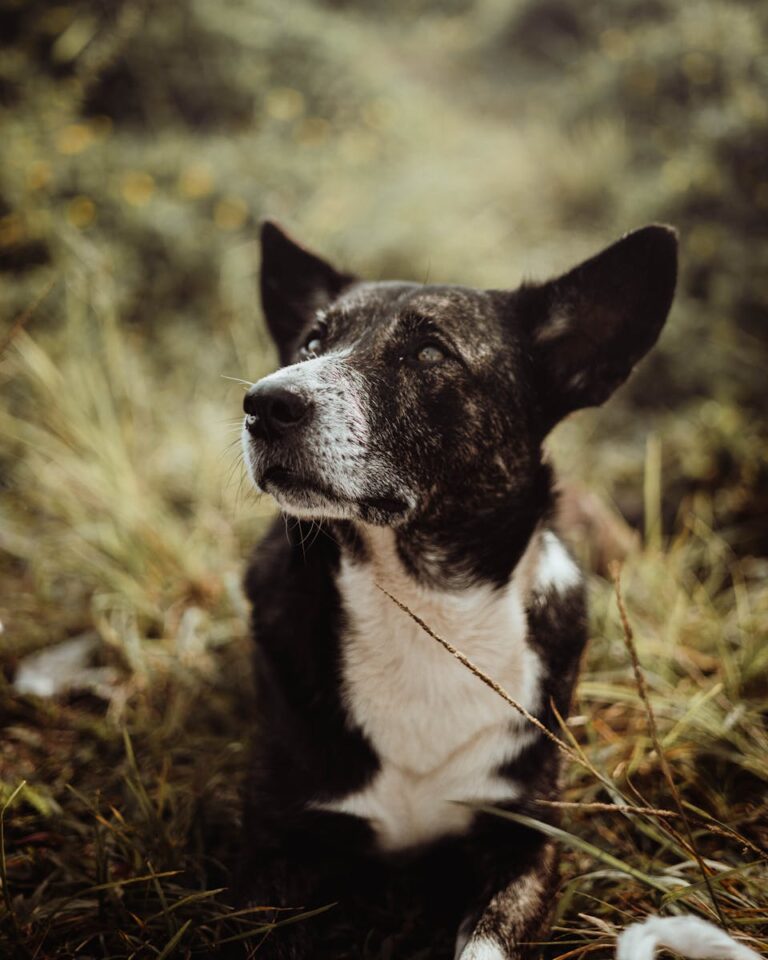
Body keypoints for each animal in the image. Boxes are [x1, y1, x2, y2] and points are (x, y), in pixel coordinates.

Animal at [237, 219, 676, 960]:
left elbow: (487, 942)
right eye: (310, 343)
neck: (424, 603)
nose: (265, 402)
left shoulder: (526, 839)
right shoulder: (280, 846)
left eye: (428, 352)